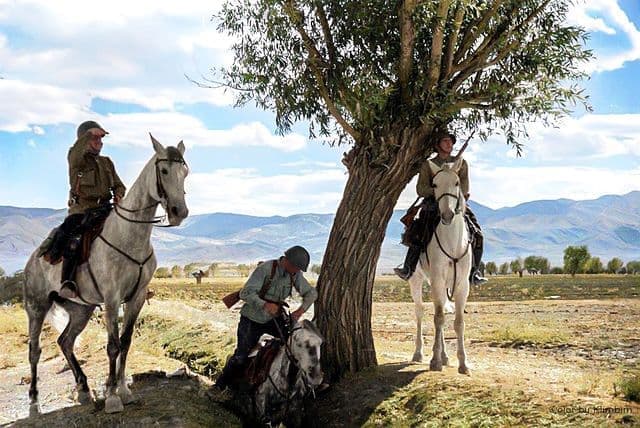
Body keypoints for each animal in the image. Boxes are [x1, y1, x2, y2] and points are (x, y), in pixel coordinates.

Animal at [23, 135, 189, 412]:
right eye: (164, 170)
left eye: (185, 172)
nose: (179, 212)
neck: (129, 236)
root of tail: (32, 260)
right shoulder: (112, 299)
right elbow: (112, 345)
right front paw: (112, 397)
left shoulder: (137, 297)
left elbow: (126, 342)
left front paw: (123, 390)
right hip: (37, 306)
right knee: (35, 350)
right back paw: (34, 399)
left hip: (81, 310)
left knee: (65, 342)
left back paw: (83, 389)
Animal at [408, 157, 472, 374]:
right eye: (434, 185)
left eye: (457, 183)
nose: (447, 215)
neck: (452, 241)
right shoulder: (436, 279)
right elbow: (438, 318)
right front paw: (434, 360)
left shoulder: (462, 284)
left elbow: (458, 322)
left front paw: (463, 363)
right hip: (417, 280)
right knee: (420, 312)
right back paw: (419, 353)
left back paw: (445, 356)